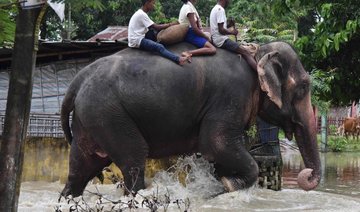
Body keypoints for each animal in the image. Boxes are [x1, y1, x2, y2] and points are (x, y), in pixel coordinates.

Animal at [59, 41, 320, 197]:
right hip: (109, 115)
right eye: (304, 87)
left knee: (81, 166)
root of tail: (77, 80)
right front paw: (229, 184)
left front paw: (219, 185)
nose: (306, 174)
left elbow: (217, 155)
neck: (256, 53)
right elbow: (217, 143)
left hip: (91, 117)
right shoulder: (231, 95)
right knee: (133, 159)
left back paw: (68, 197)